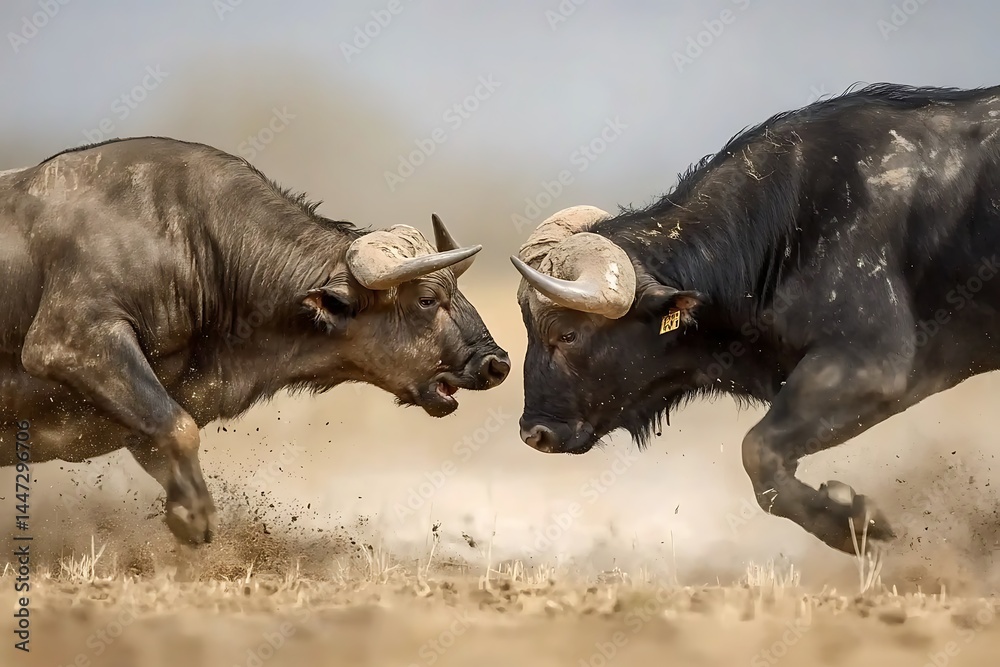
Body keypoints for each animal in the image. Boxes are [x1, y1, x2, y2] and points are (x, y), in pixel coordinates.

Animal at [0, 136, 510, 544]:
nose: (497, 363)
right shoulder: (69, 342)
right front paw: (193, 516)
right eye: (426, 299)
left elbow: (167, 431)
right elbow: (179, 426)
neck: (195, 243)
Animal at [510, 83, 1000, 554]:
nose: (535, 432)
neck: (790, 225)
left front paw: (855, 524)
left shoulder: (870, 367)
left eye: (567, 334)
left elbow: (757, 452)